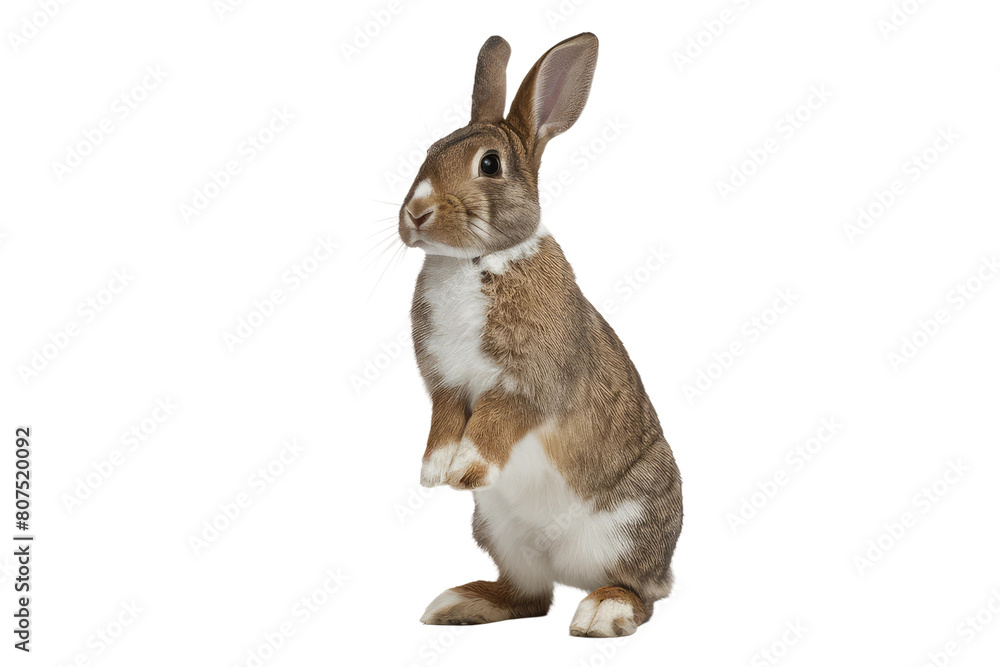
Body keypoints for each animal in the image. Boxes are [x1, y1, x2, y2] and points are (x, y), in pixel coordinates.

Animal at [396, 33, 682, 638]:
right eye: (431, 148)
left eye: (490, 164)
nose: (416, 213)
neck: (474, 261)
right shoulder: (446, 388)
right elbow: (445, 422)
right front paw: (433, 473)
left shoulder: (528, 384)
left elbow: (494, 423)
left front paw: (463, 470)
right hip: (499, 532)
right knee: (529, 595)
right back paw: (457, 603)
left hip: (628, 528)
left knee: (639, 593)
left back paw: (601, 613)